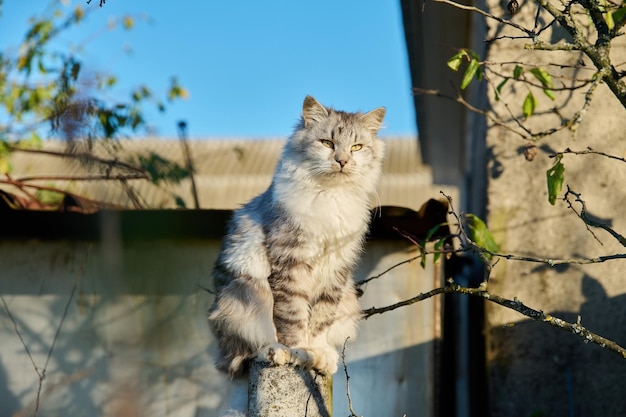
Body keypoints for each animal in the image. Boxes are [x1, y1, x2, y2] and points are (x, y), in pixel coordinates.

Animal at [210, 93, 382, 376]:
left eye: (356, 147)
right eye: (327, 143)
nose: (342, 161)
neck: (331, 195)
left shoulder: (336, 268)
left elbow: (322, 317)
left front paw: (319, 354)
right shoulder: (291, 260)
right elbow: (293, 316)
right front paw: (300, 351)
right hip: (245, 294)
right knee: (247, 351)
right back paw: (276, 352)